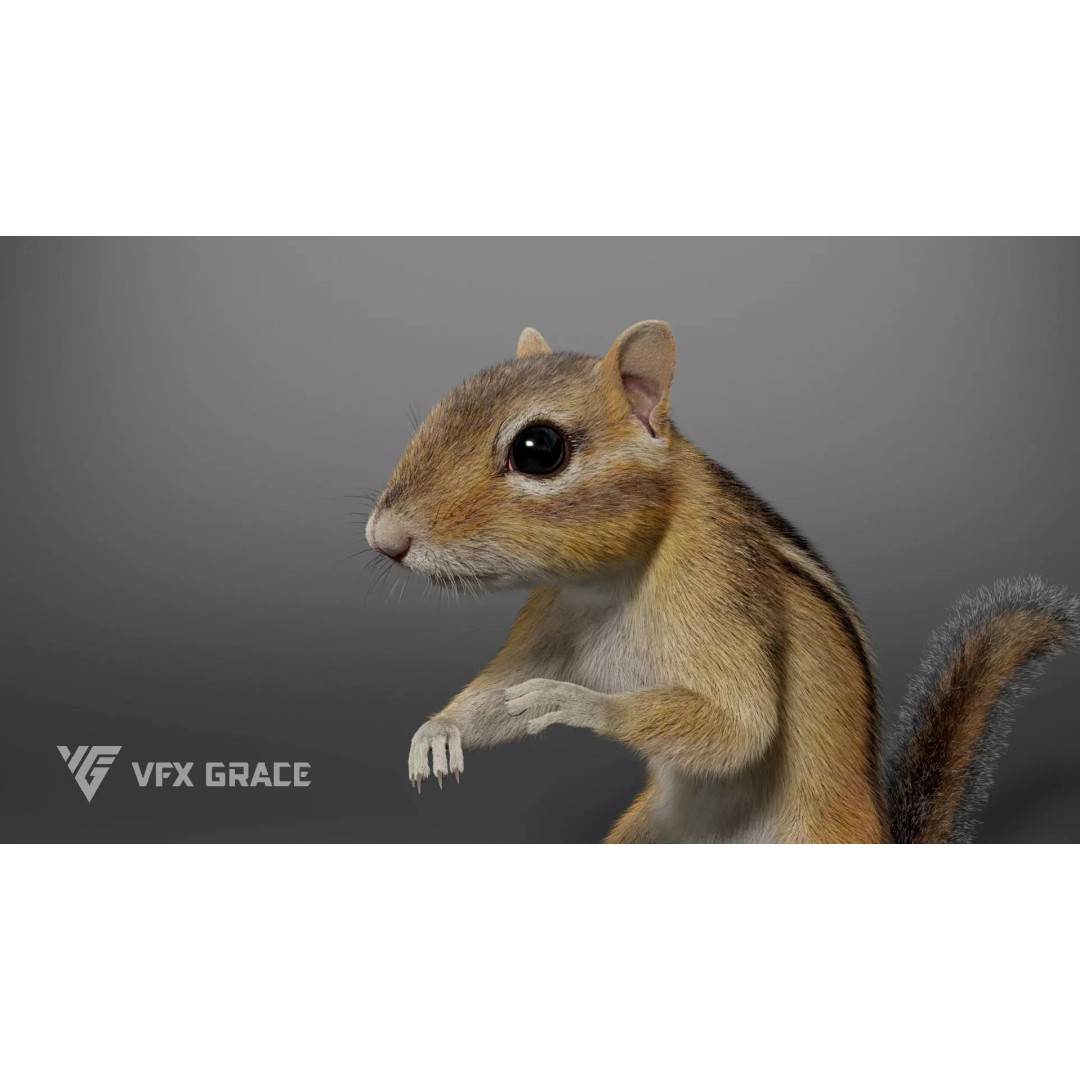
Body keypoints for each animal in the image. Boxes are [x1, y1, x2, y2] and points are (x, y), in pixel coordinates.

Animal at [365, 320, 1078, 842]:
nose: (383, 538)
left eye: (539, 449)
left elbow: (743, 723)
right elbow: (495, 693)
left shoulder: (719, 586)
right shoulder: (552, 612)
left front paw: (568, 701)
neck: (613, 582)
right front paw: (437, 733)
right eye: (439, 410)